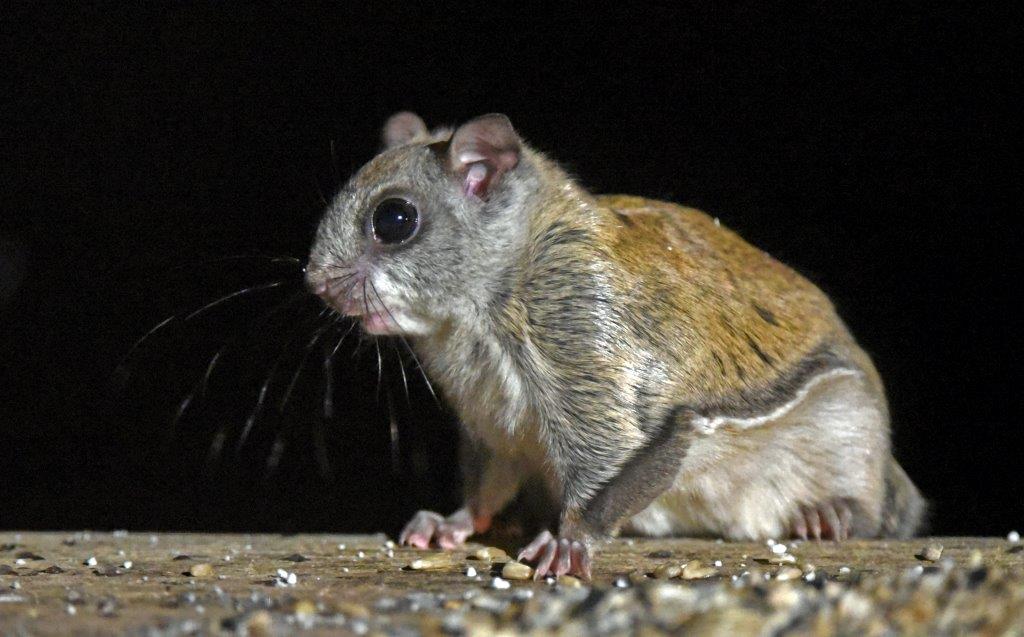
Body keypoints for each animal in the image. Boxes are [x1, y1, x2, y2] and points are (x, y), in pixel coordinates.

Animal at [305, 112, 925, 579]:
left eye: (394, 219)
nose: (315, 282)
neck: (473, 319)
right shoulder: (493, 428)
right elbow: (485, 487)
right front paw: (450, 523)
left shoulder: (586, 344)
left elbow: (611, 468)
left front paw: (568, 541)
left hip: (848, 423)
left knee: (870, 508)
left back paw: (830, 515)